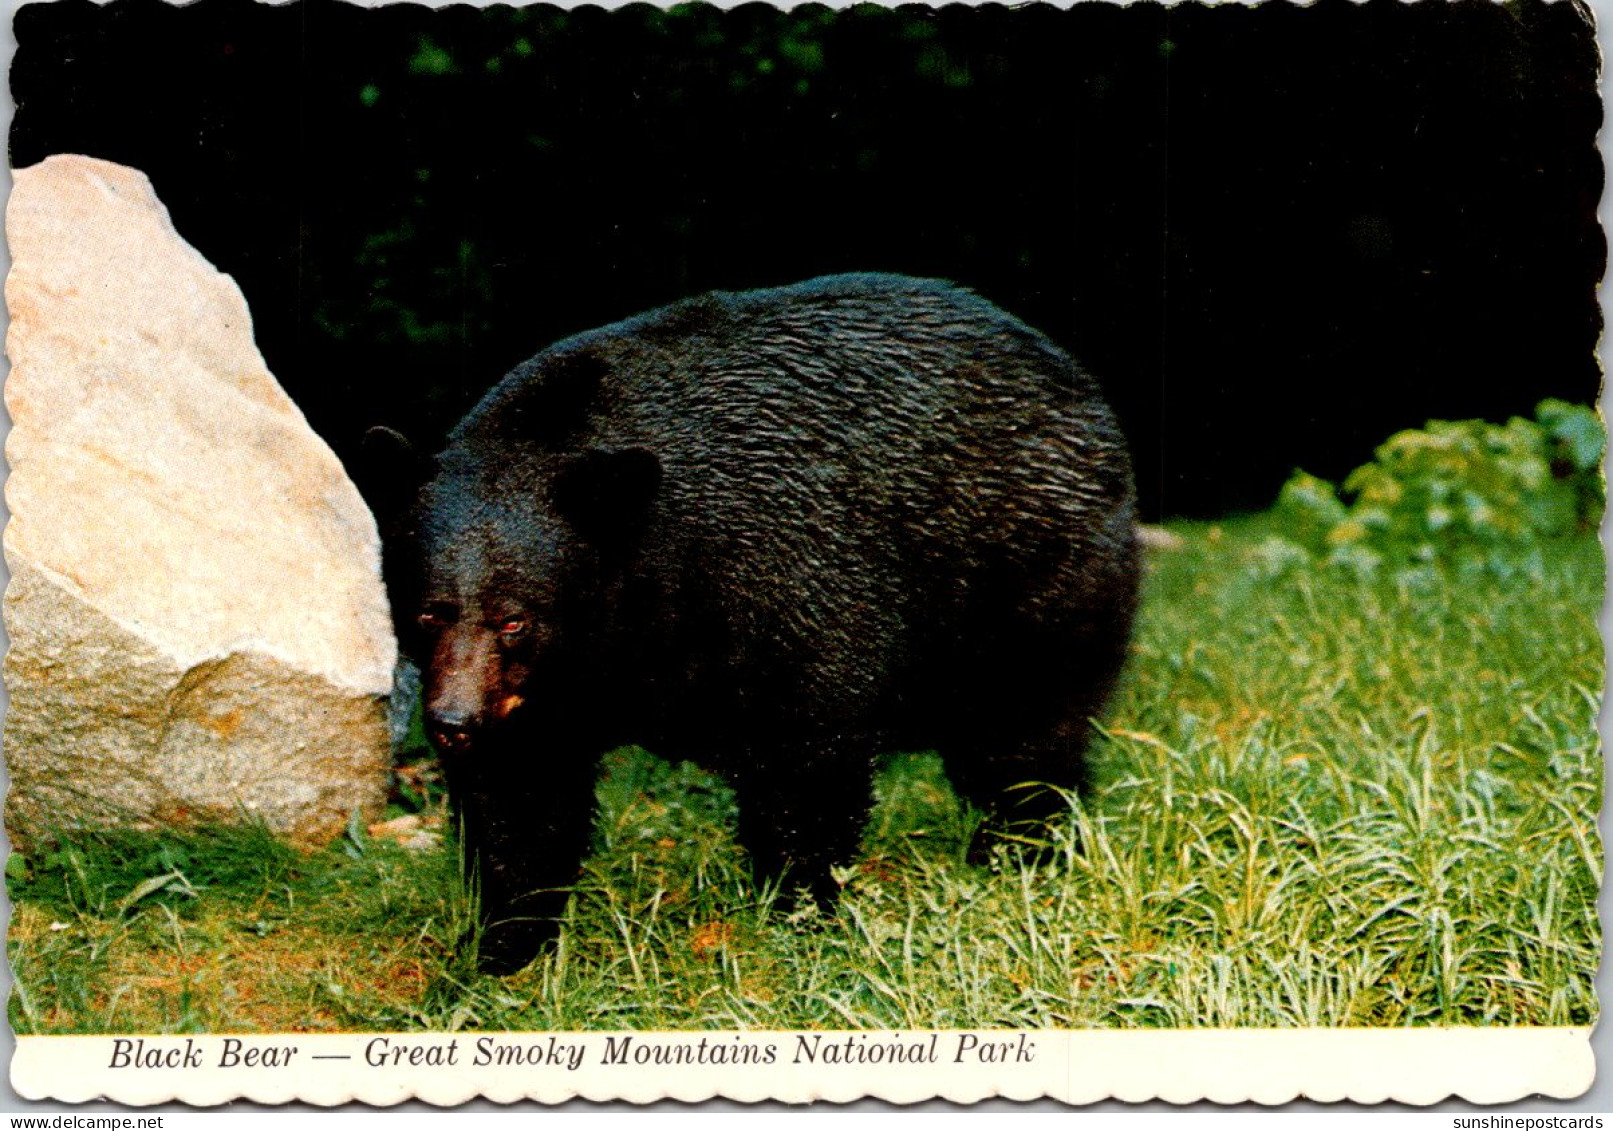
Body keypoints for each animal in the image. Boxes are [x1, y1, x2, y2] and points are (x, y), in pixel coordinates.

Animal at [372, 274, 1142, 968]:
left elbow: (805, 760)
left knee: (1022, 729)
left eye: (514, 620)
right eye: (428, 610)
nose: (454, 722)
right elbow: (521, 798)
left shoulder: (785, 576)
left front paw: (798, 909)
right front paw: (505, 943)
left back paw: (1020, 847)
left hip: (1025, 573)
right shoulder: (537, 698)